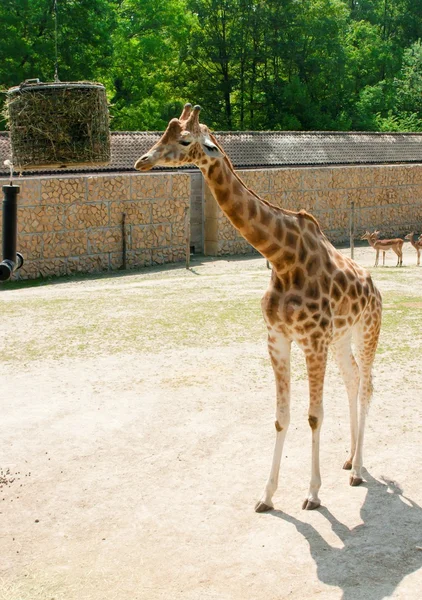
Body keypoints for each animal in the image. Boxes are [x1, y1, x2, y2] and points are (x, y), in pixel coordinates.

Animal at [135, 103, 382, 510]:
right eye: (161, 134)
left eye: (184, 140)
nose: (142, 161)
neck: (283, 260)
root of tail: (374, 286)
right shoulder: (277, 338)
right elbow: (281, 417)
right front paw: (266, 495)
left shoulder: (312, 341)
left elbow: (313, 416)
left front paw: (312, 493)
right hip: (342, 336)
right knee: (353, 379)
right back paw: (349, 459)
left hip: (368, 330)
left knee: (367, 387)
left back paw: (360, 469)